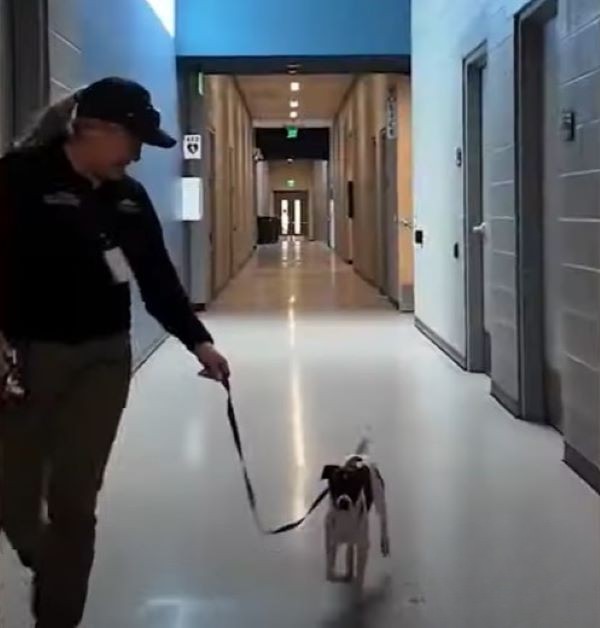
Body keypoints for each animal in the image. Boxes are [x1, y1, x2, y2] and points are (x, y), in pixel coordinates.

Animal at [322, 448, 392, 592]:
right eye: (335, 486)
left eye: (354, 488)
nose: (344, 502)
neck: (345, 517)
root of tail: (359, 458)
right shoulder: (331, 542)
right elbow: (330, 572)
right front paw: (337, 575)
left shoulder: (363, 546)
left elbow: (360, 573)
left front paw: (357, 587)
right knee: (349, 548)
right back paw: (348, 570)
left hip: (379, 498)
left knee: (383, 519)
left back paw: (384, 542)